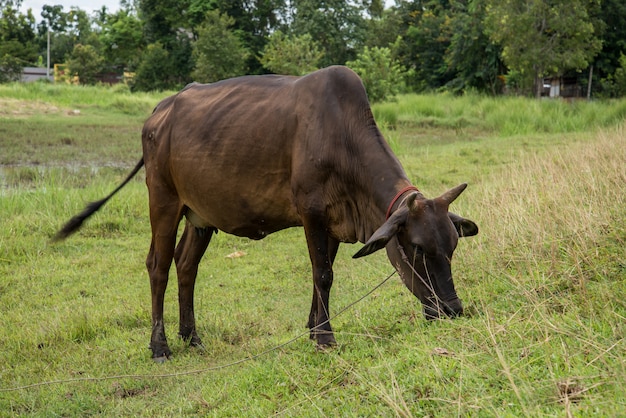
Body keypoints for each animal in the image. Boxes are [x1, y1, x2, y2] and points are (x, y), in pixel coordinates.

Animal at [54, 67, 478, 360]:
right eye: (418, 248)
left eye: (453, 248)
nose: (453, 310)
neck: (342, 138)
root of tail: (159, 111)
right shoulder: (311, 212)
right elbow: (323, 275)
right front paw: (326, 338)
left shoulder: (330, 223)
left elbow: (321, 275)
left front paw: (314, 329)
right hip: (163, 199)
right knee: (158, 265)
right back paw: (160, 346)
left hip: (199, 214)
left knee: (186, 265)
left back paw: (192, 337)